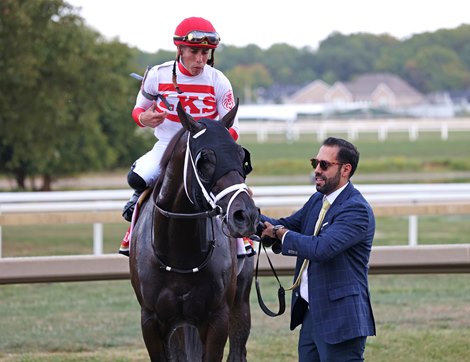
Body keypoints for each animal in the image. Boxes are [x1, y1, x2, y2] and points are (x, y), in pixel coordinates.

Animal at [130, 99, 258, 362]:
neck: (179, 252)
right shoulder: (151, 320)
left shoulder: (217, 318)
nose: (246, 215)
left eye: (242, 156)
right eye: (204, 160)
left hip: (240, 302)